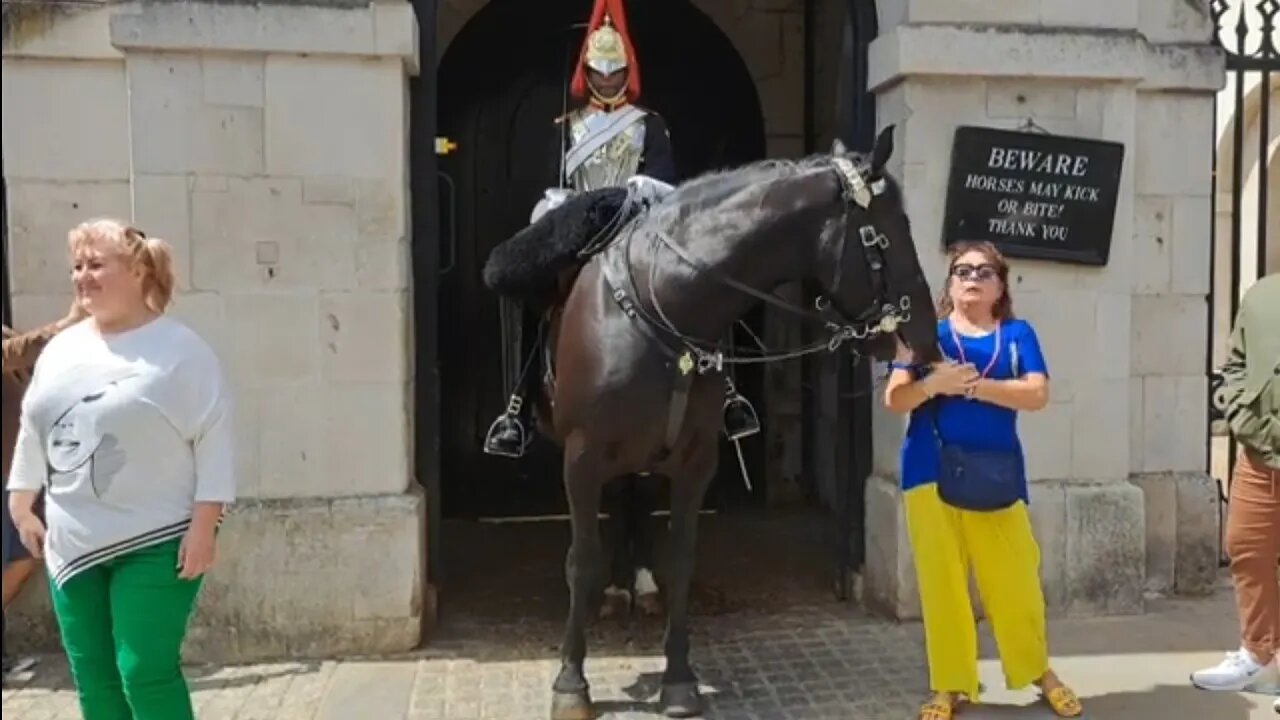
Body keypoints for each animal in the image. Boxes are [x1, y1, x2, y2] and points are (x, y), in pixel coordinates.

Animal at [481, 126, 942, 712]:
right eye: (884, 233)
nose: (925, 336)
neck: (664, 311)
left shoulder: (694, 459)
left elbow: (681, 559)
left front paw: (679, 677)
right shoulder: (581, 460)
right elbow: (580, 560)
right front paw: (571, 683)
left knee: (634, 503)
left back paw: (635, 585)